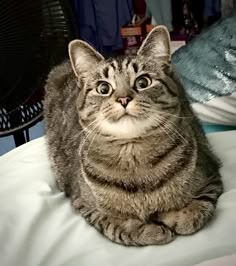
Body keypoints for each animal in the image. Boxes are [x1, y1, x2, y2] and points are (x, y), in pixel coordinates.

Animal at [43, 26, 223, 246]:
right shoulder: (83, 203)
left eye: (143, 82)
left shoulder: (211, 174)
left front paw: (178, 215)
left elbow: (196, 211)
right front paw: (149, 230)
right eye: (103, 88)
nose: (123, 98)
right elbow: (117, 225)